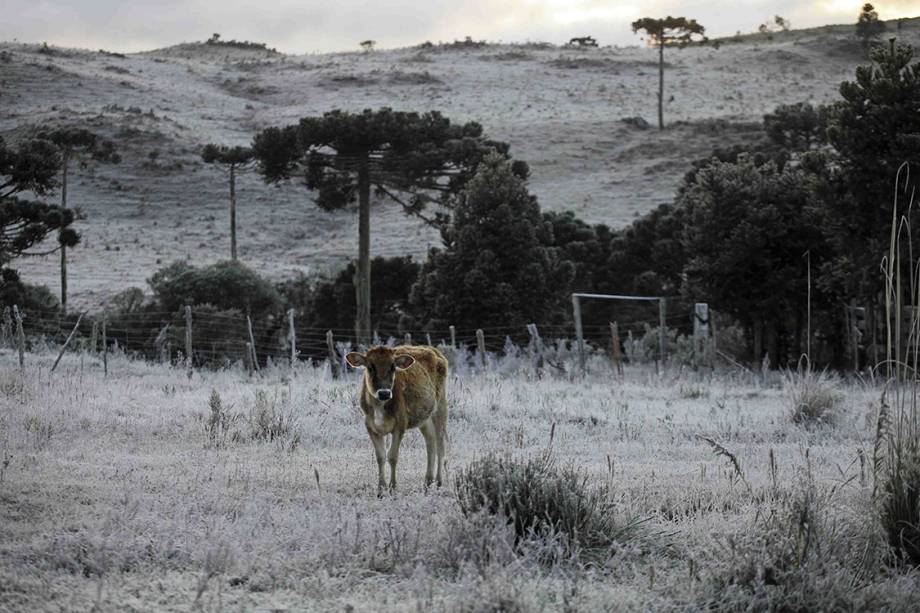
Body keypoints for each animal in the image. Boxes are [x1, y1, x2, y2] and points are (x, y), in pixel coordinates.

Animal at [344, 344, 448, 492]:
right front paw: (381, 489)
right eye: (370, 367)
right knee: (430, 441)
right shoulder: (370, 426)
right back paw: (427, 481)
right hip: (424, 418)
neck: (380, 407)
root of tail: (433, 350)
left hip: (440, 407)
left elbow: (392, 456)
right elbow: (380, 456)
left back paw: (439, 481)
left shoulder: (400, 424)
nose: (384, 393)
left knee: (440, 443)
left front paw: (392, 487)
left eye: (393, 367)